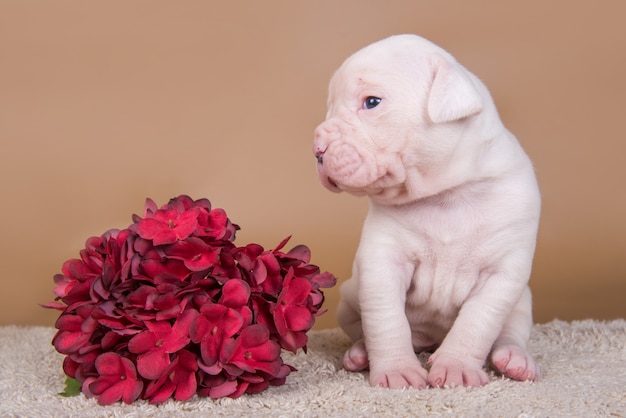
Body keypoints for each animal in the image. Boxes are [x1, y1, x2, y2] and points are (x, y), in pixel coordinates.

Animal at [314, 35, 540, 388]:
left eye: (371, 102)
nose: (317, 150)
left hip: (522, 302)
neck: (447, 193)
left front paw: (457, 367)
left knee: (510, 332)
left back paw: (515, 360)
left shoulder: (503, 272)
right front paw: (396, 370)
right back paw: (361, 352)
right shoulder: (383, 263)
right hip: (350, 296)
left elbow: (477, 323)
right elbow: (386, 320)